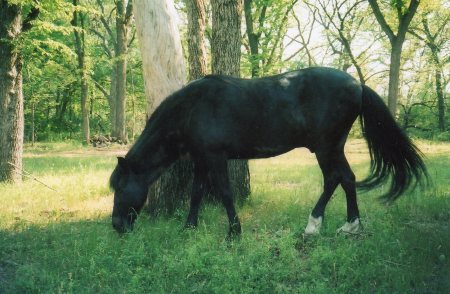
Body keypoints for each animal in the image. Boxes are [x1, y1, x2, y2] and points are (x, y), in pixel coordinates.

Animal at [110, 66, 428, 237]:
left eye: (121, 188)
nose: (117, 226)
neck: (192, 108)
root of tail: (357, 84)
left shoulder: (216, 158)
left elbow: (225, 193)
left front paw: (234, 232)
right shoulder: (202, 159)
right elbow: (197, 192)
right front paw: (189, 228)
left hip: (326, 147)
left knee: (334, 179)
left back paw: (315, 225)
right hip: (332, 148)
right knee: (346, 179)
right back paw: (350, 226)